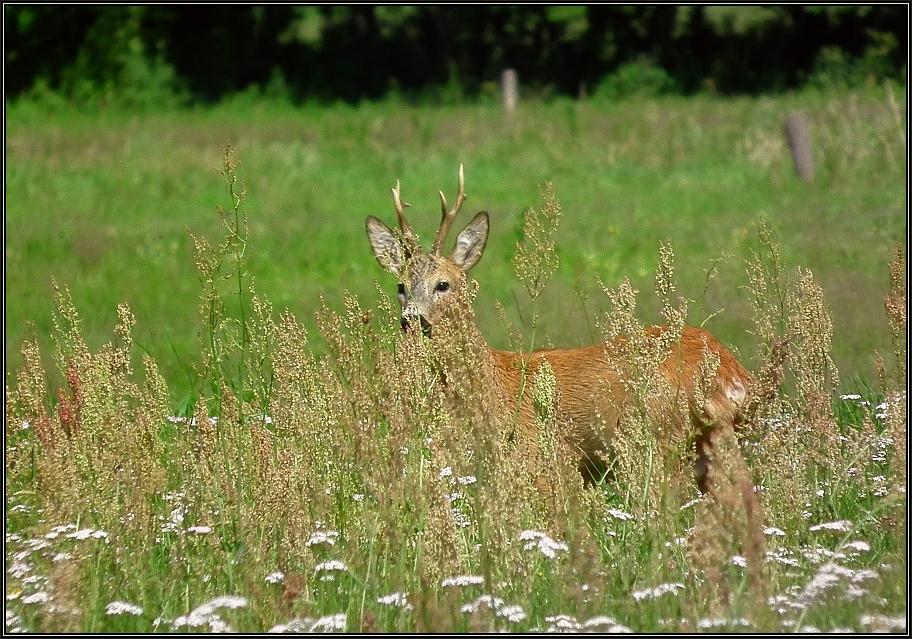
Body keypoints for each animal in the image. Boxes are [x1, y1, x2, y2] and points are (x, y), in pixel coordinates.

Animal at [366, 166, 756, 496]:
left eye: (443, 284)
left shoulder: (542, 457)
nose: (412, 319)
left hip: (658, 436)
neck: (493, 385)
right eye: (400, 286)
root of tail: (732, 374)